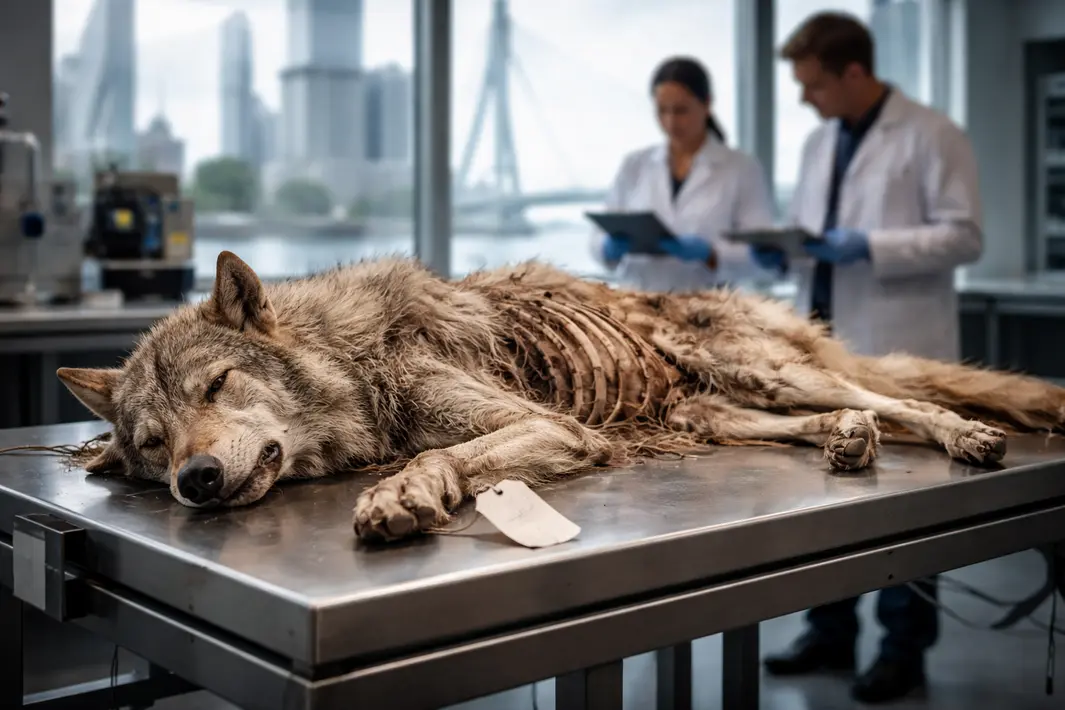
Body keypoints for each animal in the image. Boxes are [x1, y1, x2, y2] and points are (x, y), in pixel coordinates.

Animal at [56, 251, 1065, 542]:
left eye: (218, 384)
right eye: (151, 442)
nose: (193, 482)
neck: (355, 364)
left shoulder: (552, 426)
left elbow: (440, 452)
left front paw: (400, 493)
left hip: (765, 369)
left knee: (896, 398)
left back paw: (960, 436)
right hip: (701, 411)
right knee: (805, 421)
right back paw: (844, 439)